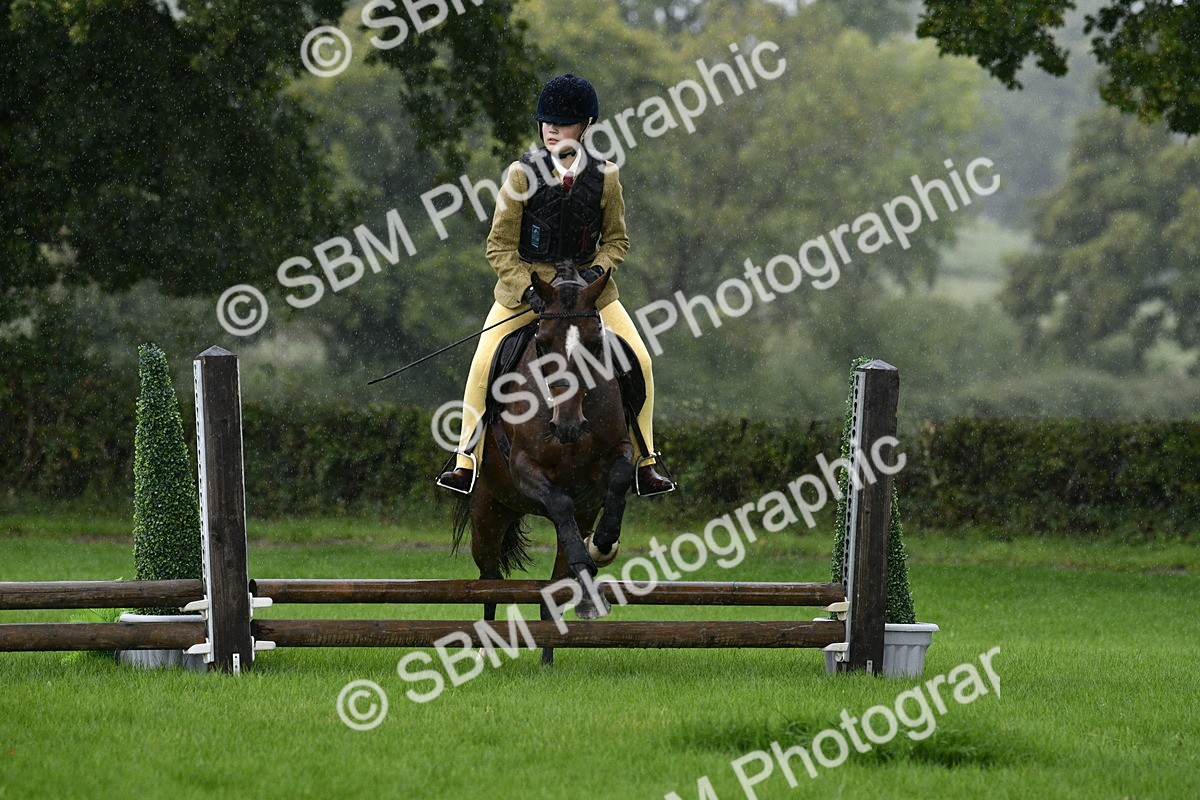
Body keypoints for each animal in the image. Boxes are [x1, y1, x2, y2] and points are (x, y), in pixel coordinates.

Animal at [452, 261, 636, 665]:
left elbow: (618, 477)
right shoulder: (523, 466)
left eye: (595, 344)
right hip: (487, 513)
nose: (567, 426)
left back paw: (558, 643)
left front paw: (604, 542)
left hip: (573, 514)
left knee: (556, 586)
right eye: (542, 343)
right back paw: (487, 649)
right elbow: (558, 500)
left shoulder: (615, 455)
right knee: (490, 581)